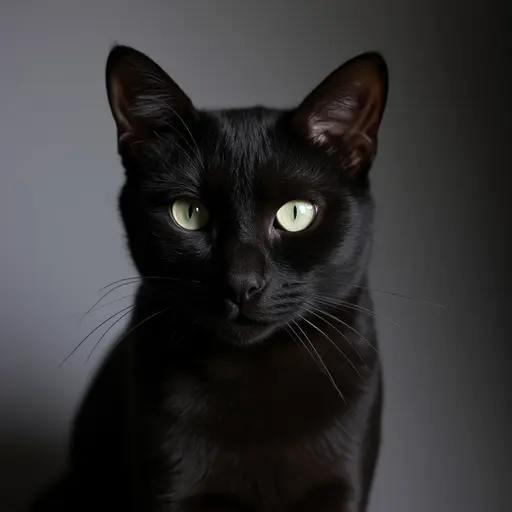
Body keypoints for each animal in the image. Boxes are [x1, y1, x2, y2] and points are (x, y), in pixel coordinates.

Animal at [31, 45, 388, 512]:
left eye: (296, 214)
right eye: (189, 213)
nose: (241, 282)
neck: (255, 378)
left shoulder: (342, 486)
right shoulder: (173, 487)